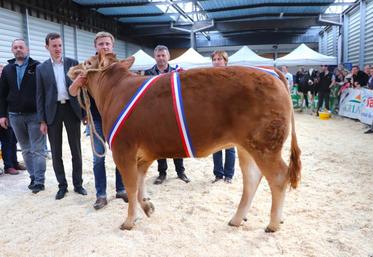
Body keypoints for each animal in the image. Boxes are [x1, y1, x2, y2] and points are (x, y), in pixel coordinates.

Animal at [67, 52, 300, 232]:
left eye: (87, 62)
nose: (71, 68)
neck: (113, 92)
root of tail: (270, 72)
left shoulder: (123, 149)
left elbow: (131, 186)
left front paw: (129, 221)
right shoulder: (144, 154)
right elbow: (140, 183)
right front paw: (148, 207)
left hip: (265, 145)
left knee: (278, 178)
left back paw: (273, 224)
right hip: (246, 146)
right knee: (252, 179)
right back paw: (237, 219)